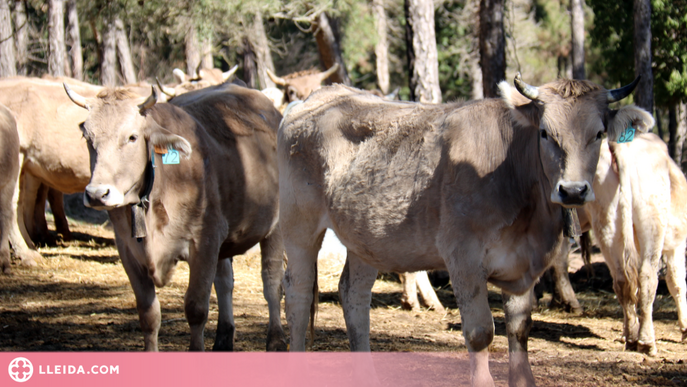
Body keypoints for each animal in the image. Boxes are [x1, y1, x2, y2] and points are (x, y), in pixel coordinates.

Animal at [66, 85, 286, 352]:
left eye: (132, 137)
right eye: (88, 138)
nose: (97, 194)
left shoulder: (204, 241)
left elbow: (196, 309)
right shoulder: (127, 250)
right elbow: (148, 314)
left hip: (274, 227)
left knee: (272, 282)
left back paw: (276, 341)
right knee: (225, 282)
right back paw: (223, 339)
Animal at [276, 76, 652, 387]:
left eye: (599, 133)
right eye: (545, 133)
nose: (573, 190)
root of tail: (321, 96)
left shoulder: (522, 267)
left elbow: (519, 330)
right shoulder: (463, 256)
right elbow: (481, 332)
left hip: (365, 237)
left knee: (353, 294)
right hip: (298, 224)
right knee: (297, 293)